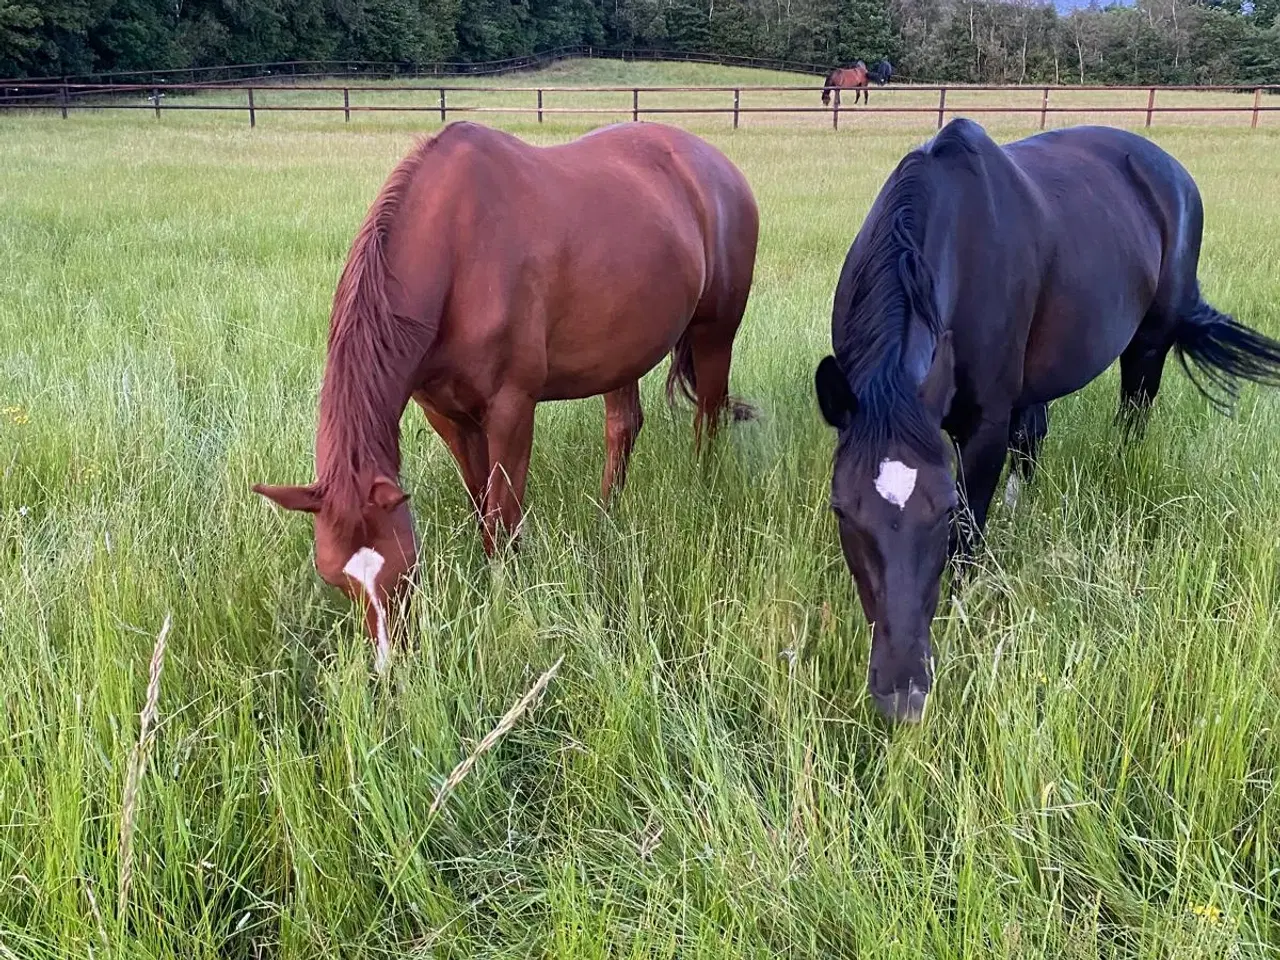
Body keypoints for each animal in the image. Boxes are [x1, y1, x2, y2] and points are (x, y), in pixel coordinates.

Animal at [249, 118, 757, 660]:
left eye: (406, 567)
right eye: (336, 579)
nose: (393, 662)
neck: (455, 252)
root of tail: (718, 166)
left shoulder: (512, 408)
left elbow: (501, 514)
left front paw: (504, 596)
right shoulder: (447, 415)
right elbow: (479, 502)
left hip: (715, 334)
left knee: (708, 417)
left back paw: (701, 487)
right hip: (624, 351)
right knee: (623, 429)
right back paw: (606, 519)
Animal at [814, 118, 1280, 721]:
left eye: (943, 508)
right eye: (842, 510)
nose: (903, 695)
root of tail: (1170, 170)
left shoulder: (983, 426)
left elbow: (968, 538)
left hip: (1148, 346)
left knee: (1133, 412)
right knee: (1033, 435)